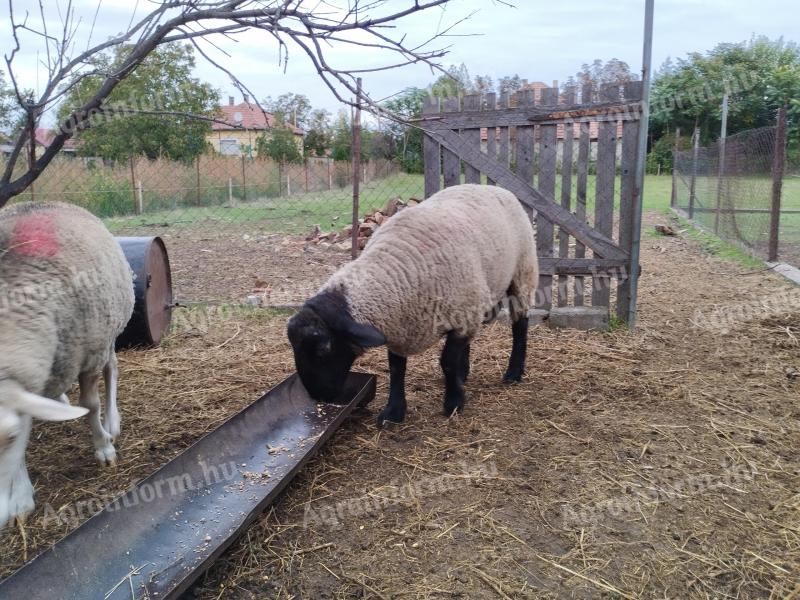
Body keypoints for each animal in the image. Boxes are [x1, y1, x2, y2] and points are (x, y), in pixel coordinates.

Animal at [288, 185, 536, 424]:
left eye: (323, 349)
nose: (319, 397)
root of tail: (494, 188)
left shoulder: (460, 317)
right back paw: (465, 372)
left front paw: (454, 403)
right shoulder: (400, 325)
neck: (398, 270)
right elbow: (397, 368)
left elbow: (447, 361)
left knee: (520, 324)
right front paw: (394, 412)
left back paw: (513, 372)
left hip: (522, 272)